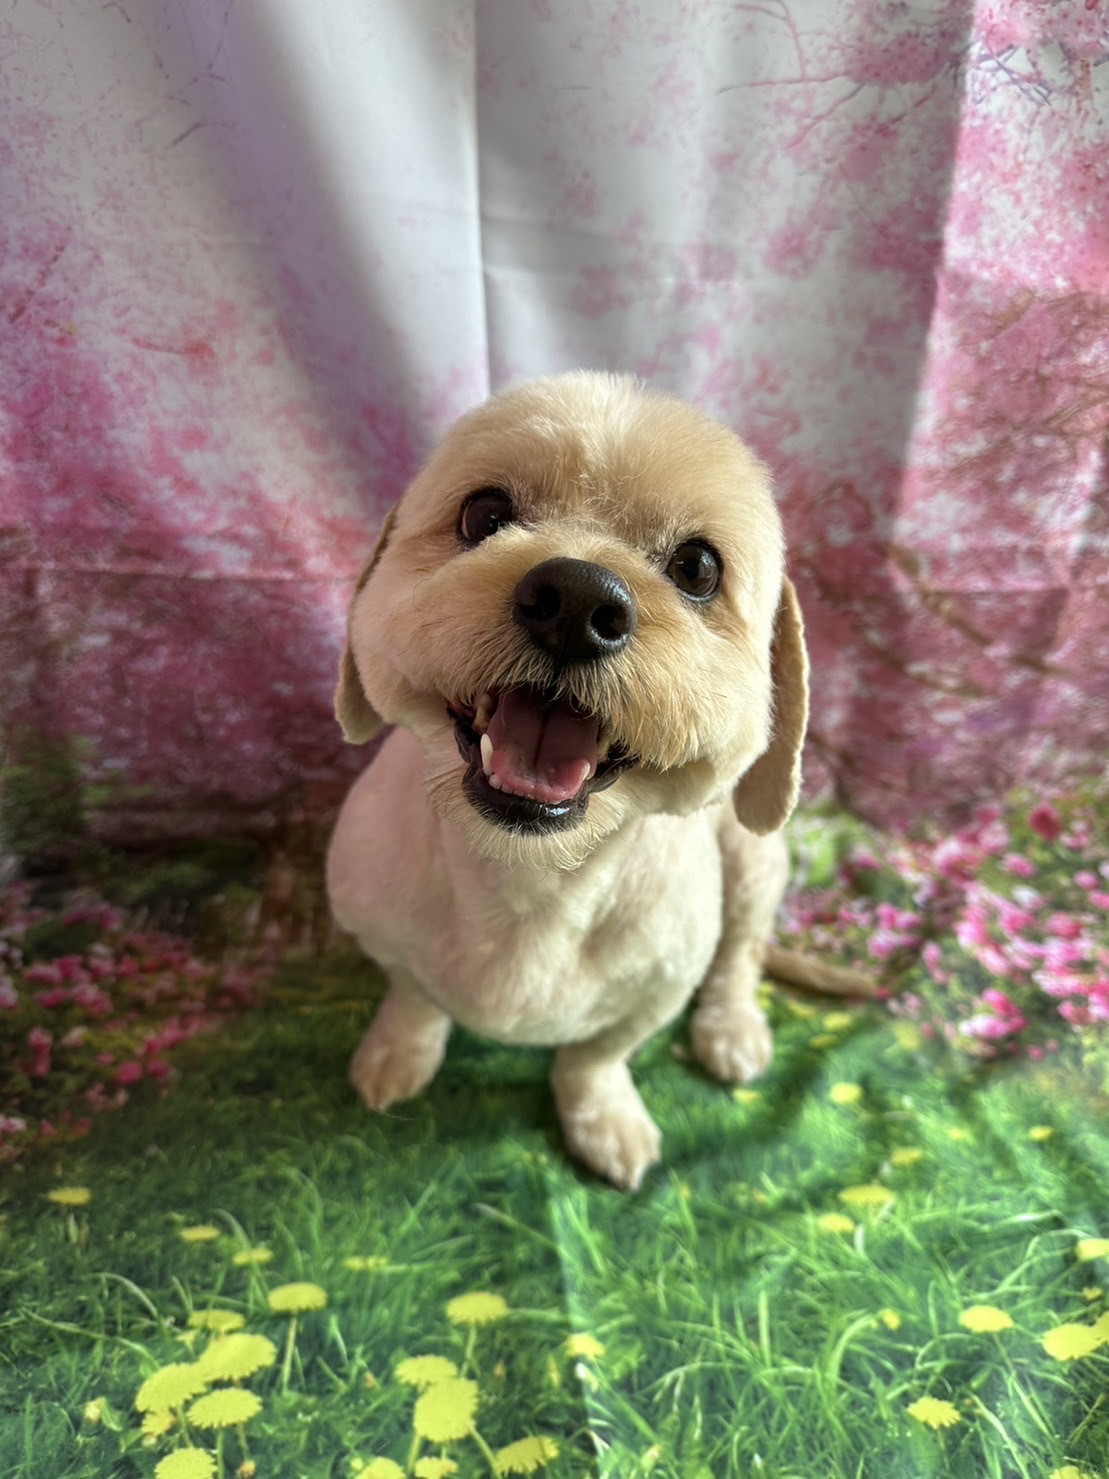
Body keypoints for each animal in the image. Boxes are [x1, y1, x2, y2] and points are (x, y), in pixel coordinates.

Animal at [327, 372, 816, 1190]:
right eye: (484, 514)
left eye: (698, 568)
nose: (579, 599)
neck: (528, 877)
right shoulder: (381, 934)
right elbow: (415, 999)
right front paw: (399, 1054)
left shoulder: (656, 988)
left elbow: (593, 1057)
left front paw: (604, 1119)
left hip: (754, 864)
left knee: (742, 953)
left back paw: (731, 1027)